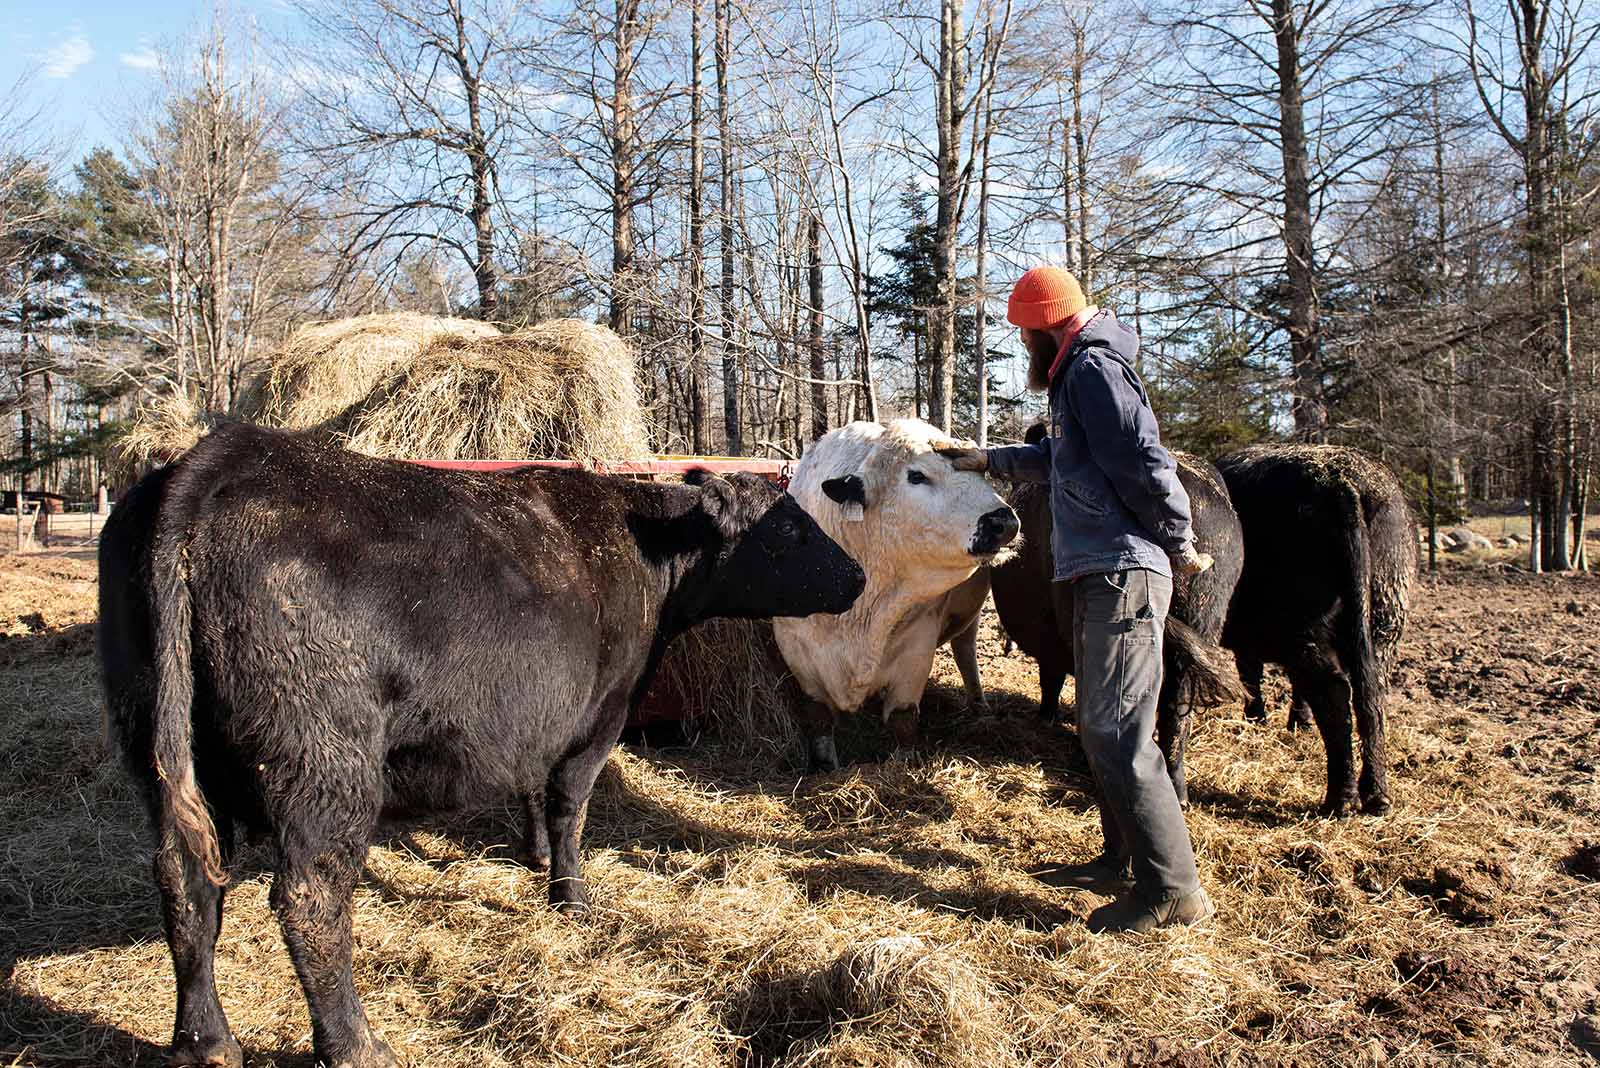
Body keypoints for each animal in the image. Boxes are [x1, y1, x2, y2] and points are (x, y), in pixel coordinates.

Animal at [777, 415, 1024, 767]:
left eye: (981, 473)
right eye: (916, 475)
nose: (1005, 523)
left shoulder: (916, 651)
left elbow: (902, 721)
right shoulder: (799, 658)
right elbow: (819, 721)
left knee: (965, 651)